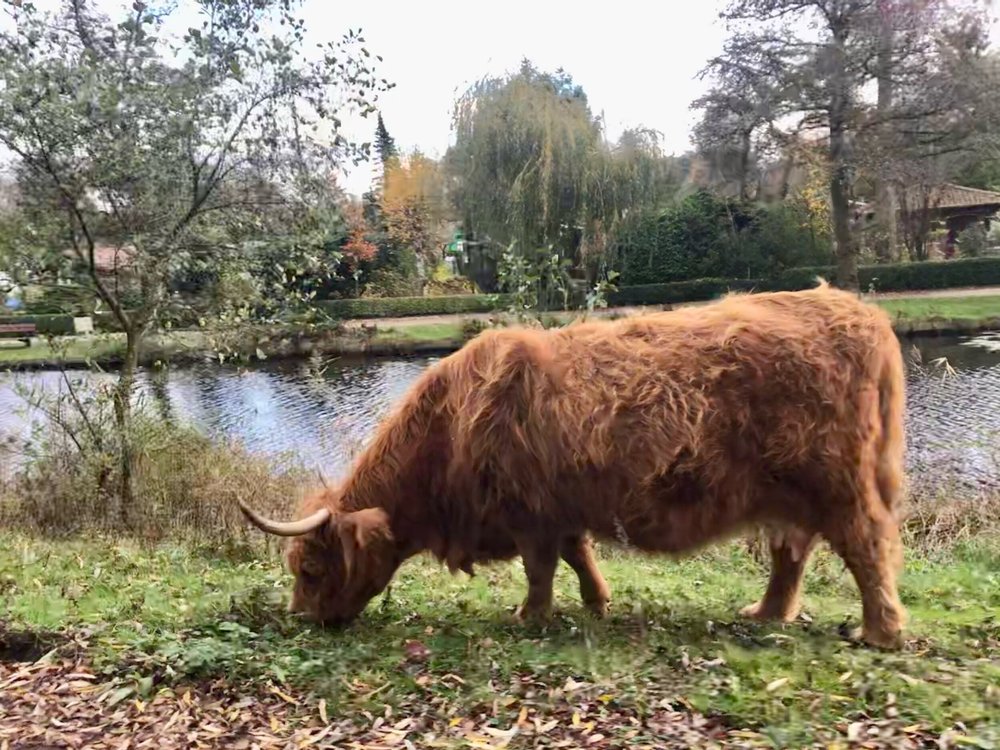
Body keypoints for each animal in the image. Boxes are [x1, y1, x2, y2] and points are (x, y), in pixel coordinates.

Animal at [239, 281, 908, 649]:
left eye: (313, 568)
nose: (303, 618)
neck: (445, 442)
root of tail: (860, 313)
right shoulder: (559, 507)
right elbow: (576, 554)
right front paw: (596, 602)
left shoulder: (528, 513)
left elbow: (541, 569)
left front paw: (528, 617)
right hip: (789, 495)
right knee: (791, 554)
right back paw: (766, 613)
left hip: (840, 486)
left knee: (866, 548)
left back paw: (879, 632)